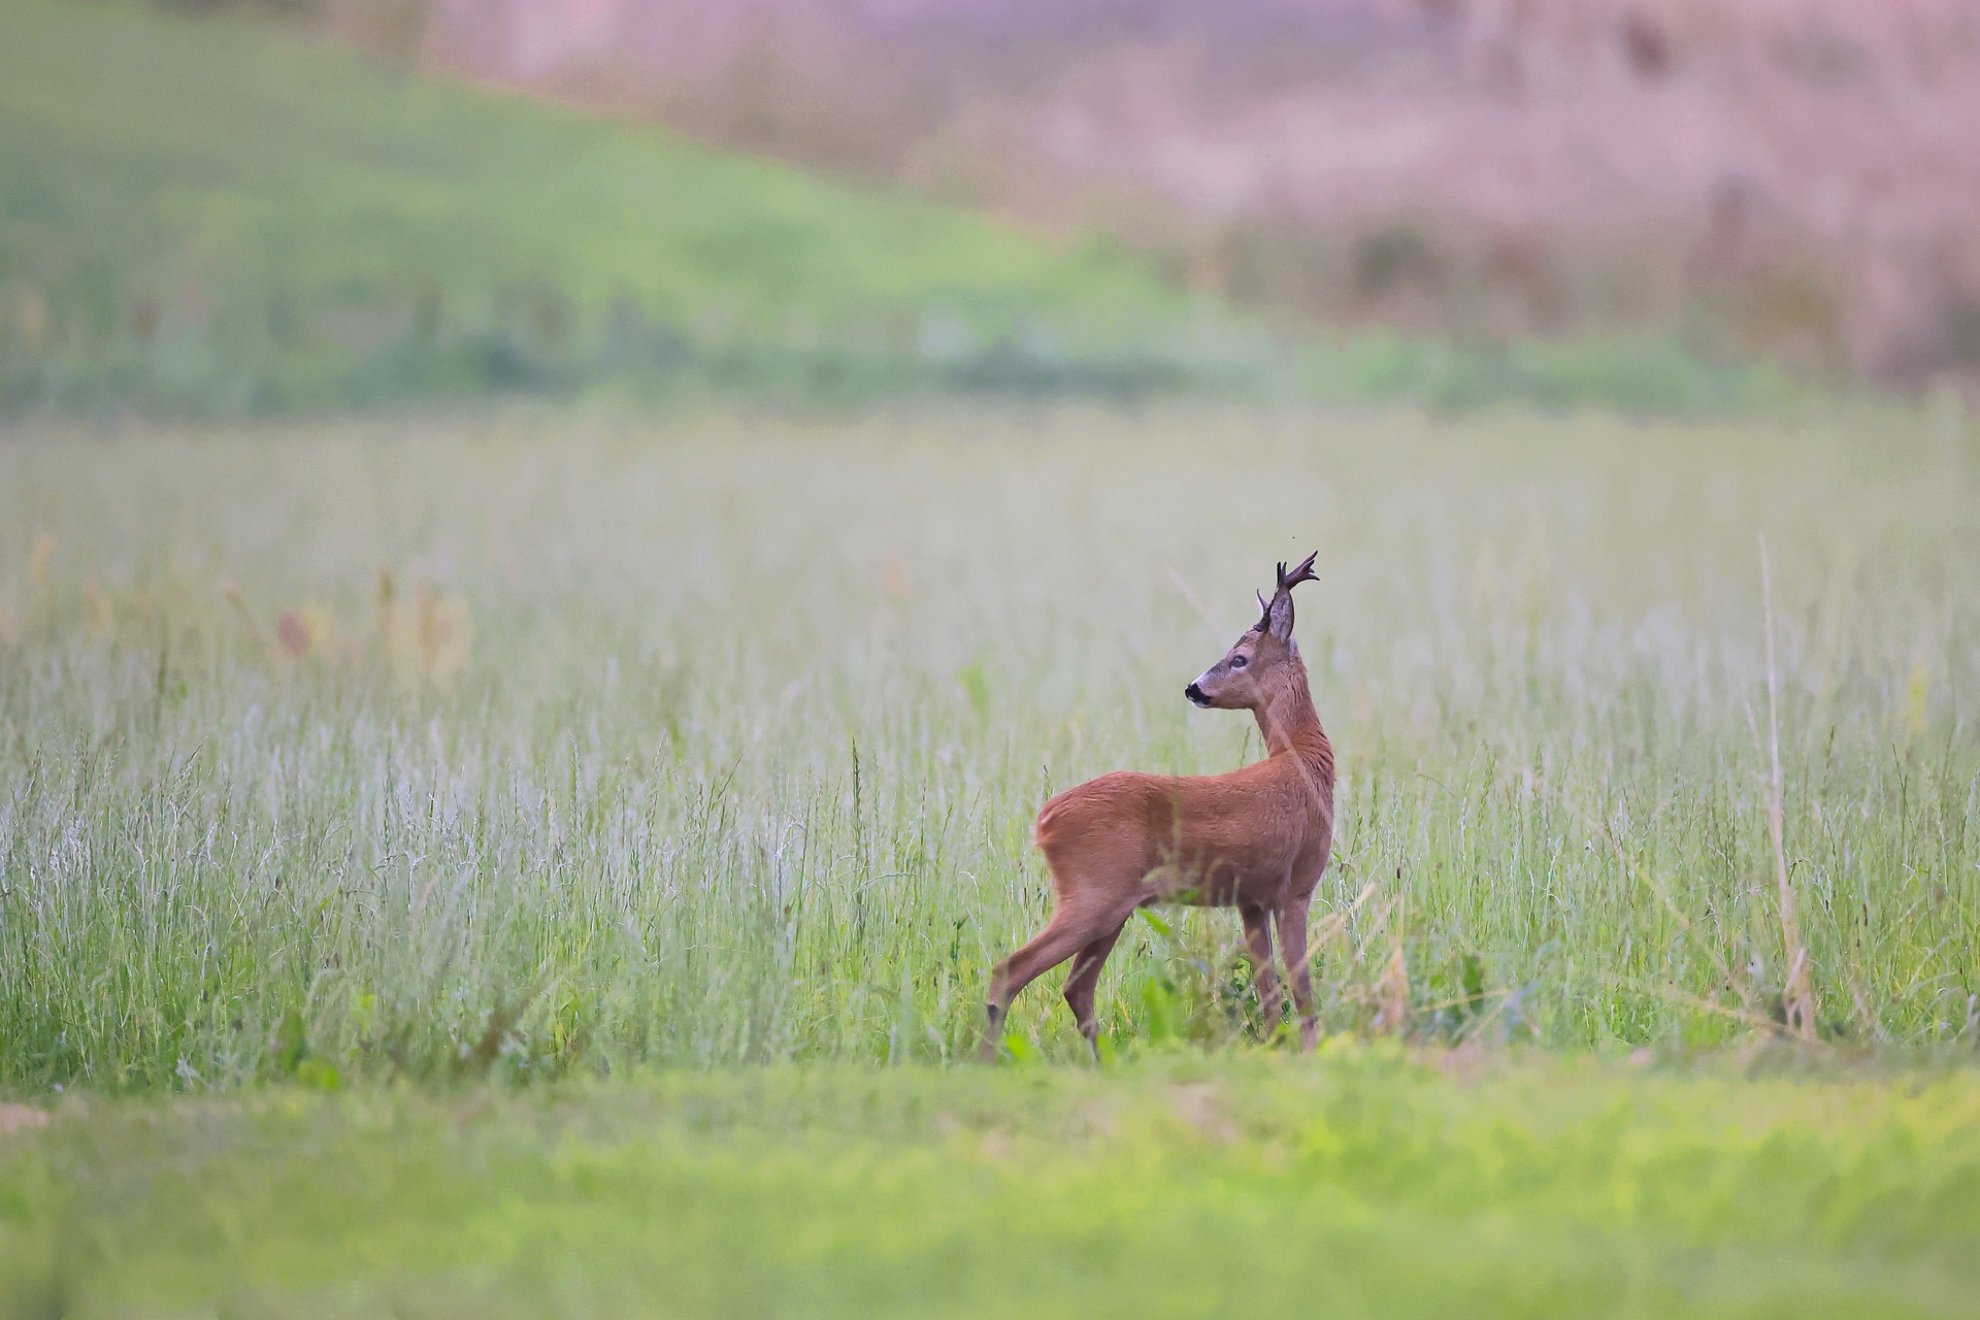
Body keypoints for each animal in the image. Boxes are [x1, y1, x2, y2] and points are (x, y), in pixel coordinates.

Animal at [982, 550, 1338, 1060]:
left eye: (1239, 658)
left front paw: (1275, 1049)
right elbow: (1302, 987)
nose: (1194, 688)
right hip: (1094, 894)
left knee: (1076, 986)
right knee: (1012, 969)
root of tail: (1044, 822)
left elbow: (1269, 989)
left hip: (1114, 906)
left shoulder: (1250, 898)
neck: (1305, 763)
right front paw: (1309, 1053)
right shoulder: (1298, 885)